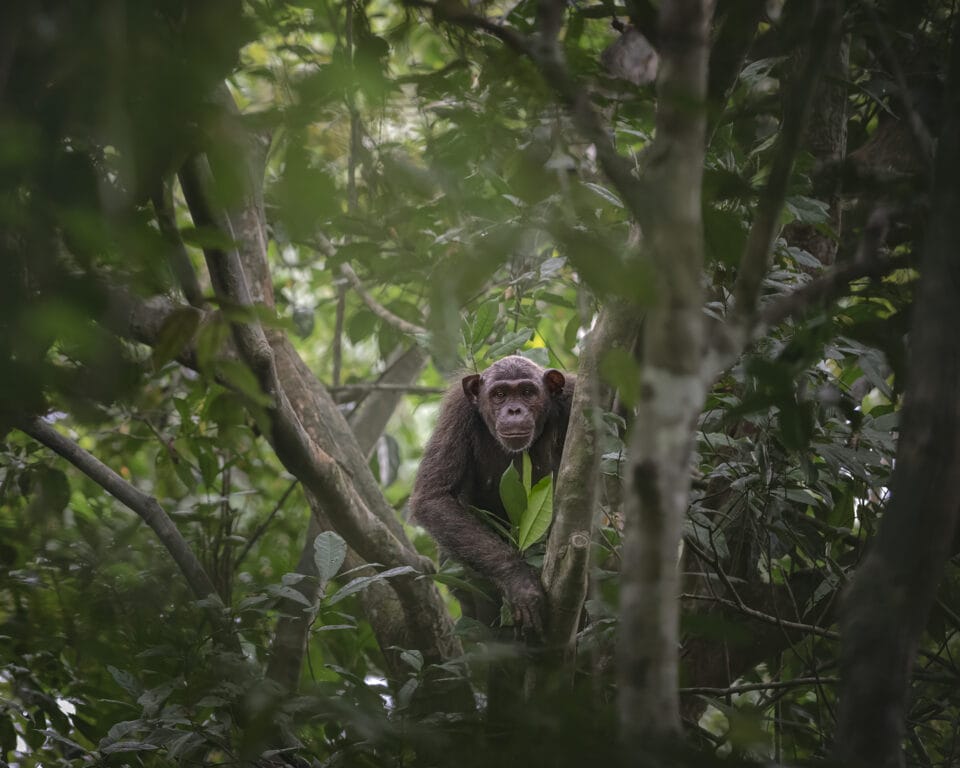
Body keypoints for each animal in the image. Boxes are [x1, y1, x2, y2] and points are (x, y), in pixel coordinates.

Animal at [408, 356, 572, 640]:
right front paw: (519, 581)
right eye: (499, 394)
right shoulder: (457, 411)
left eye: (527, 392)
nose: (514, 410)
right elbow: (434, 496)